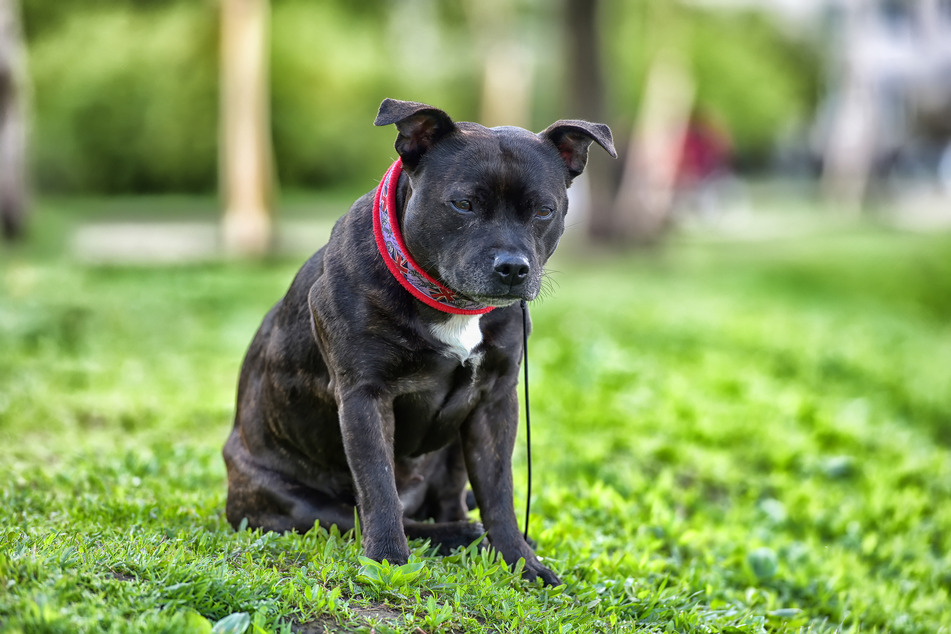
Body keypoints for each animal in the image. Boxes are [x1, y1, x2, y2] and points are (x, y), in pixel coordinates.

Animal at [221, 96, 616, 584]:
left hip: (453, 453)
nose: (512, 267)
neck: (452, 304)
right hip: (295, 501)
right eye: (463, 204)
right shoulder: (364, 398)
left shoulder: (495, 401)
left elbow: (500, 494)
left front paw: (520, 562)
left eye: (544, 210)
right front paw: (388, 561)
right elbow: (378, 488)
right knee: (365, 515)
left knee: (450, 497)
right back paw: (454, 535)